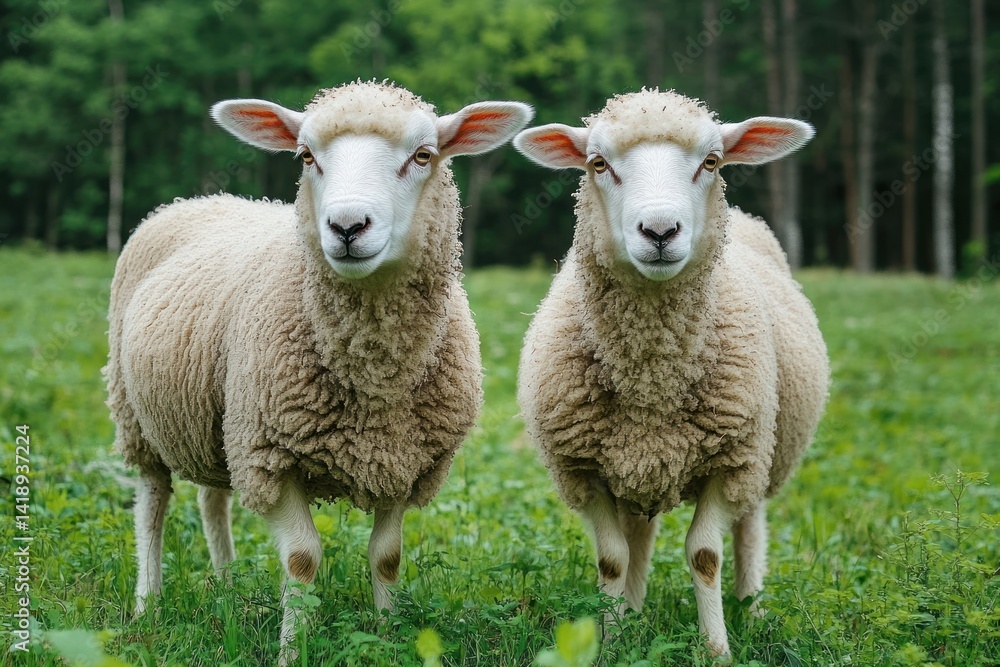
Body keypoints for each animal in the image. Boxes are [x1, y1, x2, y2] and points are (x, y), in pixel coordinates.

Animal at [105, 80, 533, 657]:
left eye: (423, 155)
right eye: (306, 156)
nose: (347, 227)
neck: (374, 376)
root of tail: (198, 200)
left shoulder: (404, 460)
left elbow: (386, 556)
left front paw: (385, 635)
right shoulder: (269, 452)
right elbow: (302, 559)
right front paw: (292, 648)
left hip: (218, 416)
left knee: (213, 499)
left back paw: (228, 590)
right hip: (140, 416)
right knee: (152, 504)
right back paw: (147, 603)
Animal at [513, 89, 829, 657]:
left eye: (712, 161)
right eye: (598, 164)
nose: (660, 232)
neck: (650, 379)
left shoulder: (732, 463)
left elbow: (705, 555)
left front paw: (718, 650)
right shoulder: (583, 470)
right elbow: (612, 558)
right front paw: (610, 643)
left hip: (762, 452)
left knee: (750, 529)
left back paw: (752, 608)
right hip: (638, 466)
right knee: (639, 537)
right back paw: (635, 612)